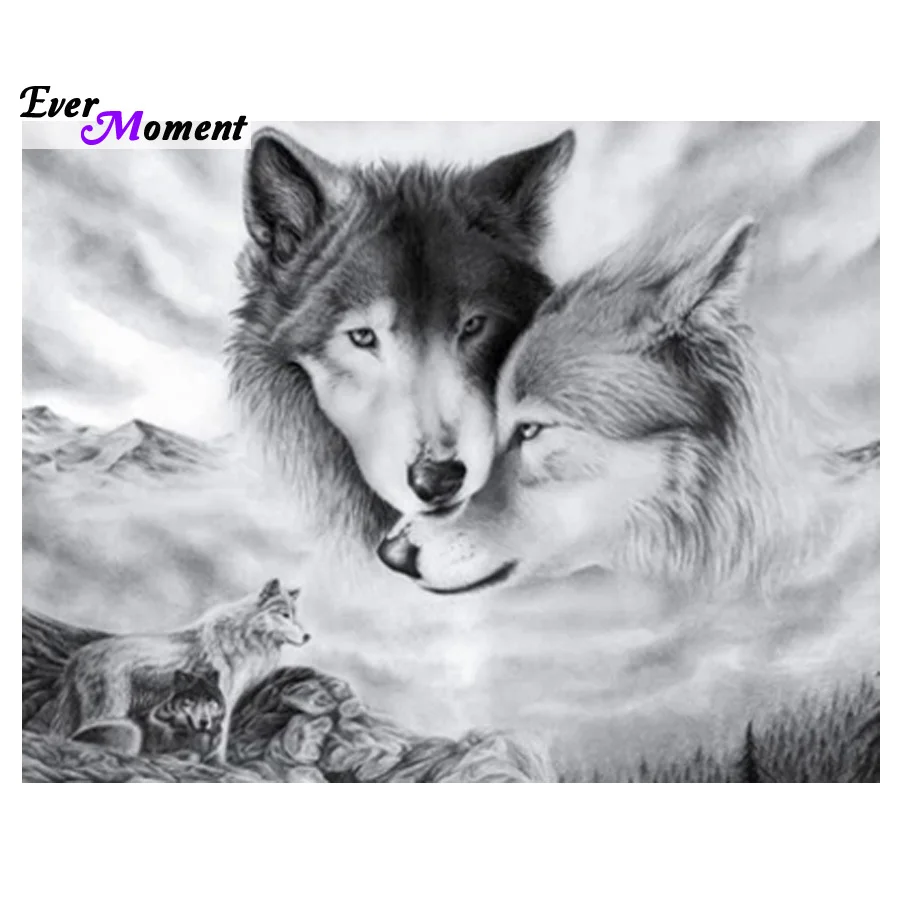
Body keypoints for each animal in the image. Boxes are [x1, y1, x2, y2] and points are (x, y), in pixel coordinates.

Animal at [51, 578, 310, 761]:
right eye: (285, 615)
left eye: (295, 616)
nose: (308, 636)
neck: (243, 636)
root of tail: (78, 656)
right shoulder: (223, 697)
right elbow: (221, 737)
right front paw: (218, 763)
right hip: (111, 710)